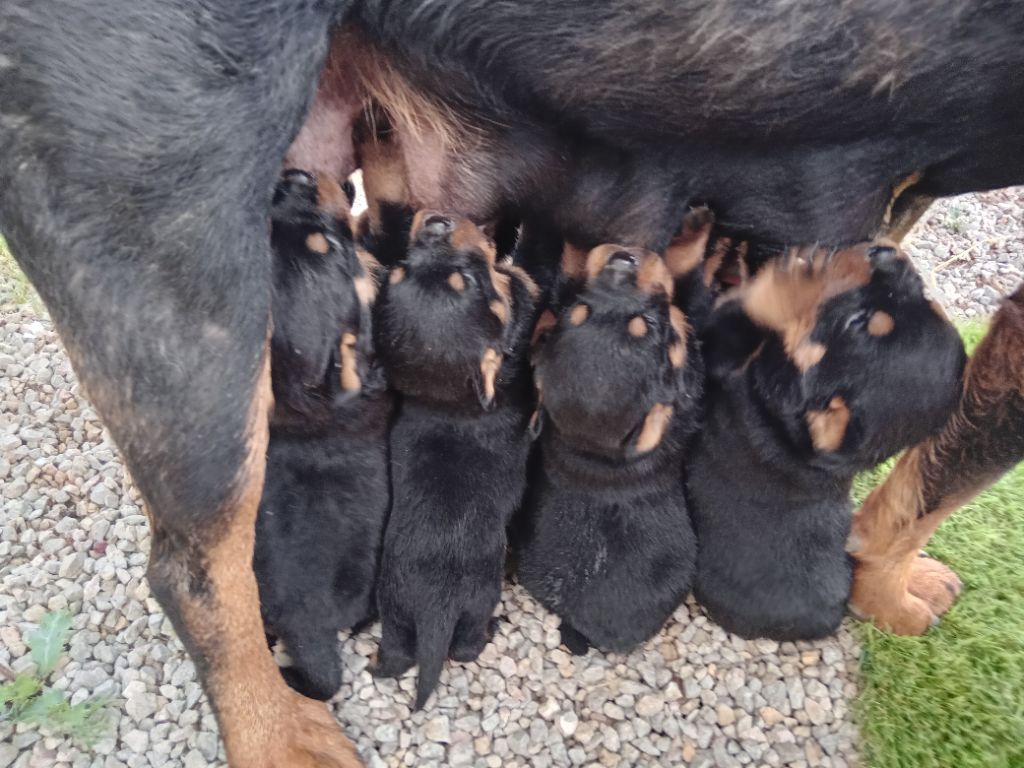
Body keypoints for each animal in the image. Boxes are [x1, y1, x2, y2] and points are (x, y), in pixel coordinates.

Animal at [372, 208, 540, 708]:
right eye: (467, 278)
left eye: (399, 270)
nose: (435, 221)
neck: (448, 402)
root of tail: (435, 609)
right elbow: (523, 292)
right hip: (476, 603)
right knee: (465, 648)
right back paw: (491, 630)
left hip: (394, 613)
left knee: (396, 656)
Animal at [688, 243, 966, 638]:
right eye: (927, 301)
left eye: (858, 323)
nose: (883, 252)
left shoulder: (722, 357)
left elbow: (750, 308)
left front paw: (794, 280)